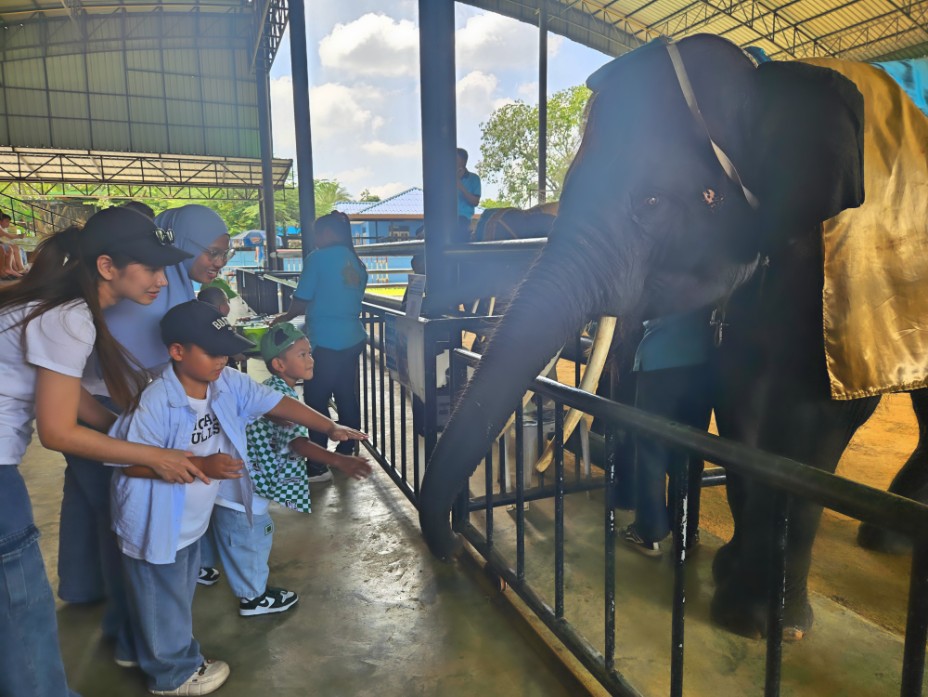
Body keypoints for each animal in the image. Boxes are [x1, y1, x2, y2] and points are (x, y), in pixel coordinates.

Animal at [420, 34, 928, 640]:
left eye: (653, 202)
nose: (453, 550)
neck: (764, 77)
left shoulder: (838, 273)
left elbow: (810, 421)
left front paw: (763, 626)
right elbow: (741, 406)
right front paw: (735, 591)